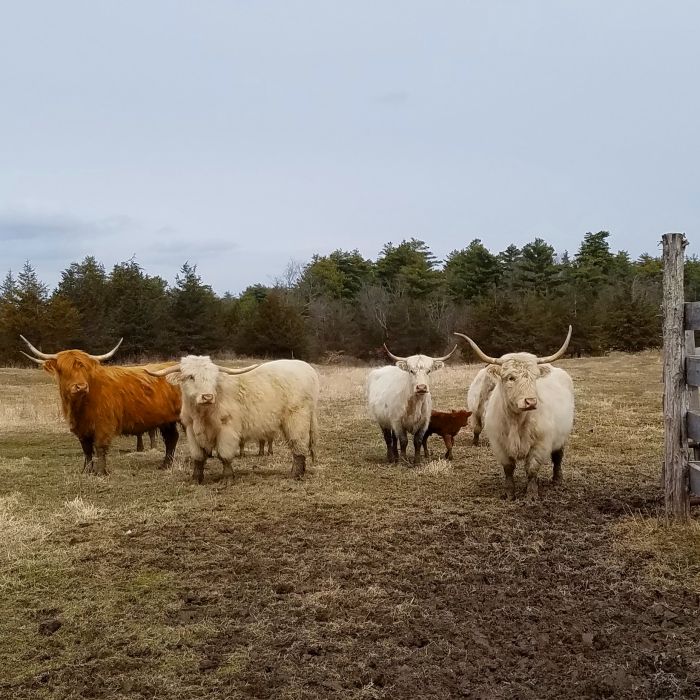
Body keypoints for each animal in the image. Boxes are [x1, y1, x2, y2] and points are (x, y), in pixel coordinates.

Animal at [152, 358, 322, 484]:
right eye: (190, 376)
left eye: (214, 378)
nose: (207, 396)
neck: (202, 414)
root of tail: (307, 368)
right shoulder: (191, 430)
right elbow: (198, 456)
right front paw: (196, 479)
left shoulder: (227, 429)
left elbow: (224, 454)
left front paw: (227, 478)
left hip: (297, 418)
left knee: (298, 445)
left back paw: (295, 474)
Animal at [454, 326, 576, 500]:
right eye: (510, 378)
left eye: (535, 377)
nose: (530, 402)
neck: (516, 421)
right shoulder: (499, 445)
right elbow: (508, 468)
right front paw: (509, 493)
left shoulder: (540, 444)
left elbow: (532, 469)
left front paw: (531, 494)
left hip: (562, 435)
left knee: (558, 456)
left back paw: (557, 479)